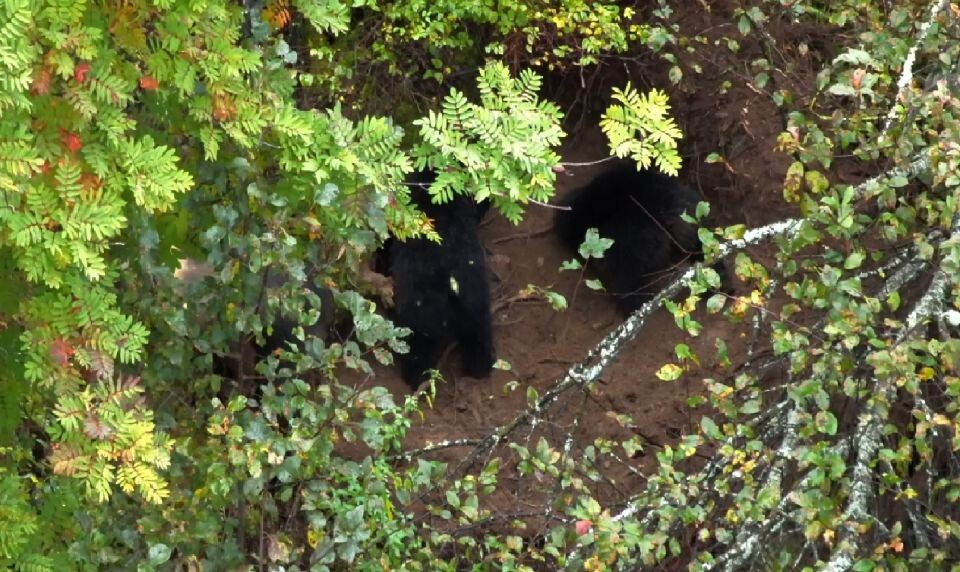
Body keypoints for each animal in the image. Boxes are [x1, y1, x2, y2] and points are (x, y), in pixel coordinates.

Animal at [388, 170, 498, 388]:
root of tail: (451, 284)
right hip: (476, 300)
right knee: (479, 334)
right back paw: (479, 368)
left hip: (419, 315)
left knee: (417, 350)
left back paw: (414, 378)